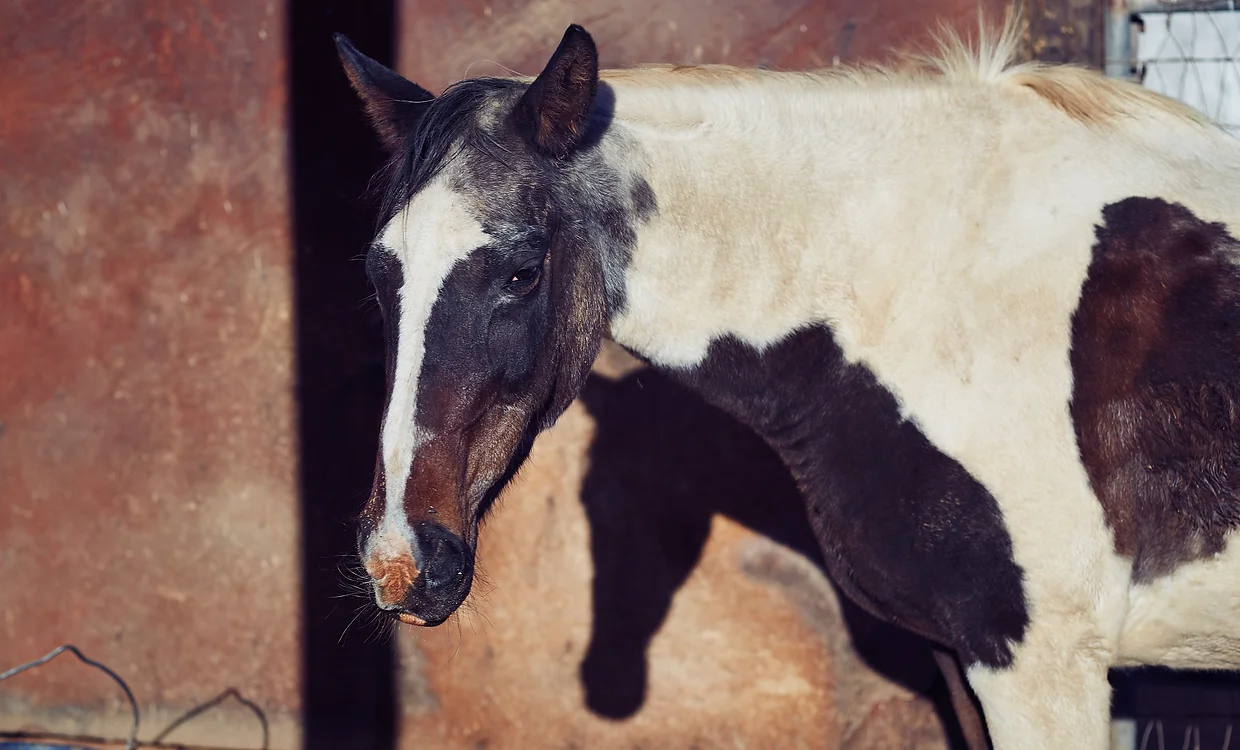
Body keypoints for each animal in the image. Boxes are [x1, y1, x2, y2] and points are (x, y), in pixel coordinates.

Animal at [329, 16, 1240, 743]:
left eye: (520, 273)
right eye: (378, 276)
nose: (399, 561)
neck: (947, 287)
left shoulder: (1041, 665)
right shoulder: (963, 657)